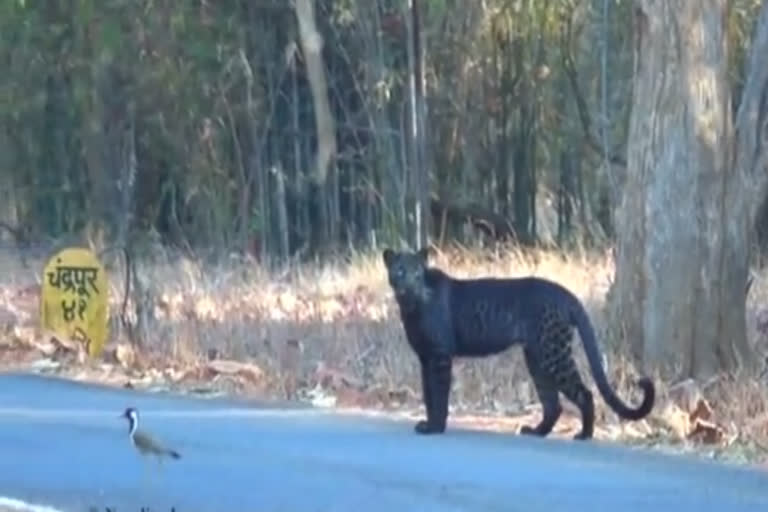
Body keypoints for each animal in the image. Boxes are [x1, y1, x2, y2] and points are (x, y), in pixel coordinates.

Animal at [382, 246, 656, 438]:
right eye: (400, 271)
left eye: (417, 273)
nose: (410, 285)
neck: (410, 306)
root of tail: (565, 293)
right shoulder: (425, 358)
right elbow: (428, 393)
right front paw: (428, 423)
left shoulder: (439, 357)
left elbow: (438, 394)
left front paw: (436, 427)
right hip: (537, 357)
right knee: (552, 402)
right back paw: (536, 431)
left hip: (553, 354)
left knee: (584, 393)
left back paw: (584, 435)